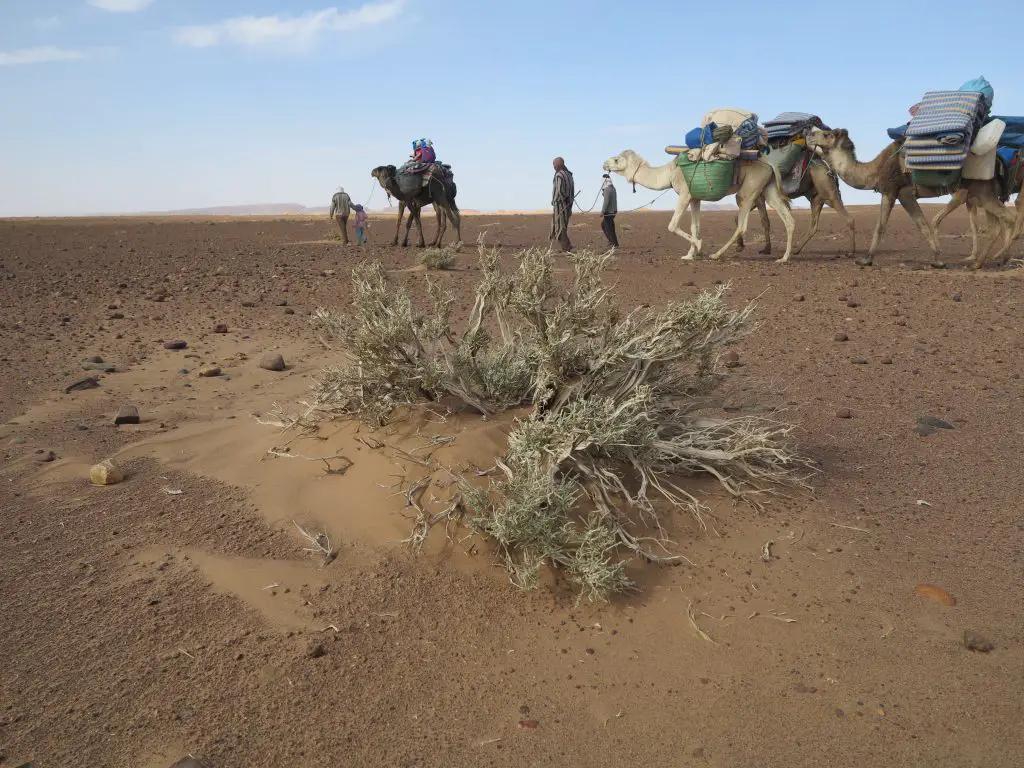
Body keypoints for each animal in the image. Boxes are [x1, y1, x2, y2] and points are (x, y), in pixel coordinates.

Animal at [598, 150, 798, 264]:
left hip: (749, 189)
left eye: (616, 160)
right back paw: (784, 258)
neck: (668, 173)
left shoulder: (685, 194)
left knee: (742, 224)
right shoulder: (695, 198)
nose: (604, 164)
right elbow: (695, 226)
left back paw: (716, 255)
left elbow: (672, 225)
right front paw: (690, 255)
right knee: (788, 219)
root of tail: (769, 162)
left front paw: (700, 247)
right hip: (769, 188)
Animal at [806, 129, 1015, 268]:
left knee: (1008, 218)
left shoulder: (895, 191)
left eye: (827, 134)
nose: (809, 133)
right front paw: (938, 260)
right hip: (984, 192)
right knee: (996, 225)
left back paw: (999, 258)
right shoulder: (901, 194)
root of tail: (998, 160)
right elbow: (922, 225)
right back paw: (982, 262)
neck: (875, 169)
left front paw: (866, 259)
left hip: (982, 190)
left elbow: (882, 227)